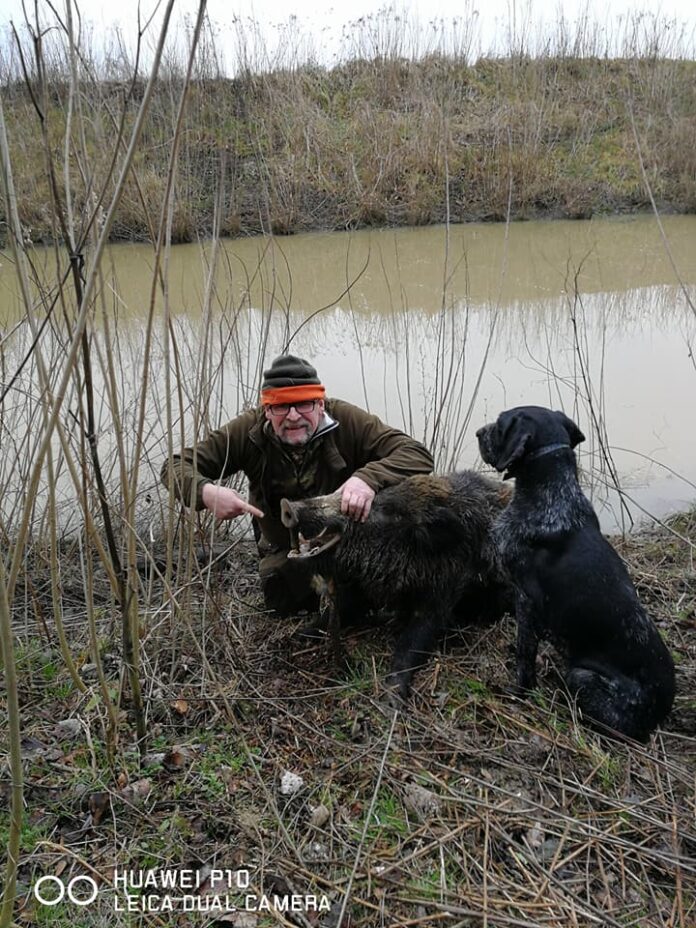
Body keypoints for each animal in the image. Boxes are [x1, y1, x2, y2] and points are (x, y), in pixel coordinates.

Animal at [478, 406, 676, 740]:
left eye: (501, 423)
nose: (480, 432)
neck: (552, 491)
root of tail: (660, 712)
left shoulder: (525, 598)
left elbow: (524, 653)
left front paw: (519, 691)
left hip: (581, 676)